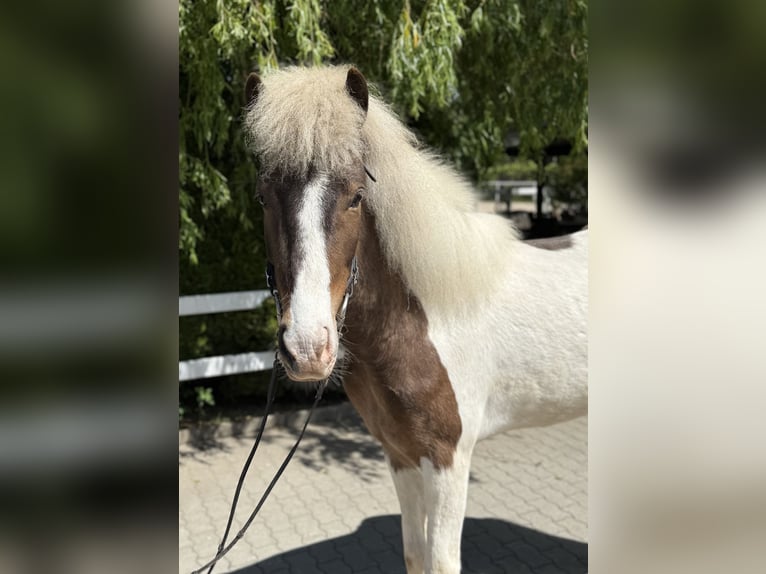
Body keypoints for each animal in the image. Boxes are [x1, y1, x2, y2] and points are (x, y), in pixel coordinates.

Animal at [243, 65, 587, 574]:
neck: (423, 317)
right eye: (263, 197)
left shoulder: (448, 461)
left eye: (356, 197)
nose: (307, 349)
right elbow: (414, 555)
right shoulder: (400, 455)